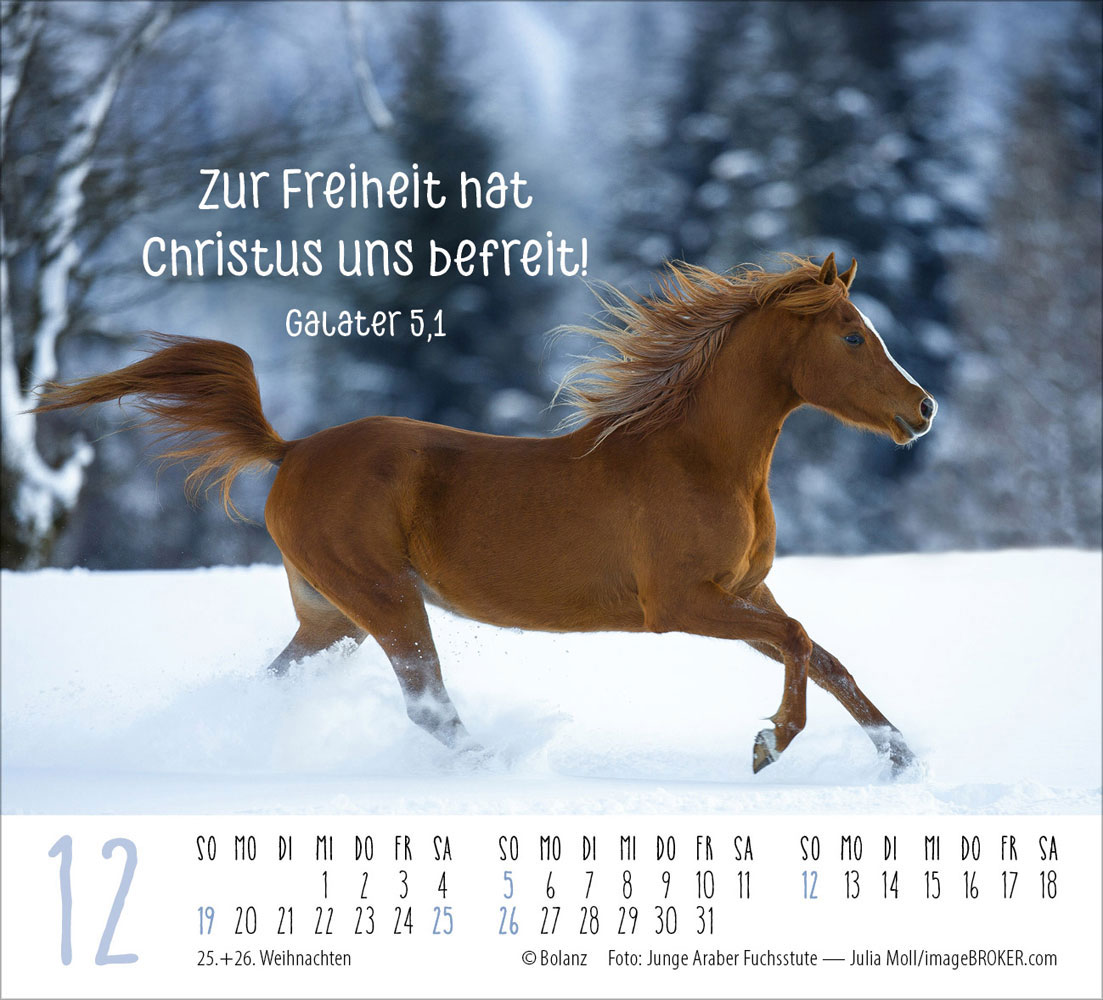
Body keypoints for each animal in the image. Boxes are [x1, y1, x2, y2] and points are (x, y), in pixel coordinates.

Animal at [33, 252, 936, 775]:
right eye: (852, 336)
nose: (923, 410)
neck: (697, 459)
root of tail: (288, 452)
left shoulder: (744, 593)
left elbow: (823, 654)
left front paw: (900, 756)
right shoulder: (681, 604)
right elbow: (799, 643)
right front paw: (768, 744)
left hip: (331, 617)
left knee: (280, 682)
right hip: (386, 599)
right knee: (426, 705)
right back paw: (502, 760)